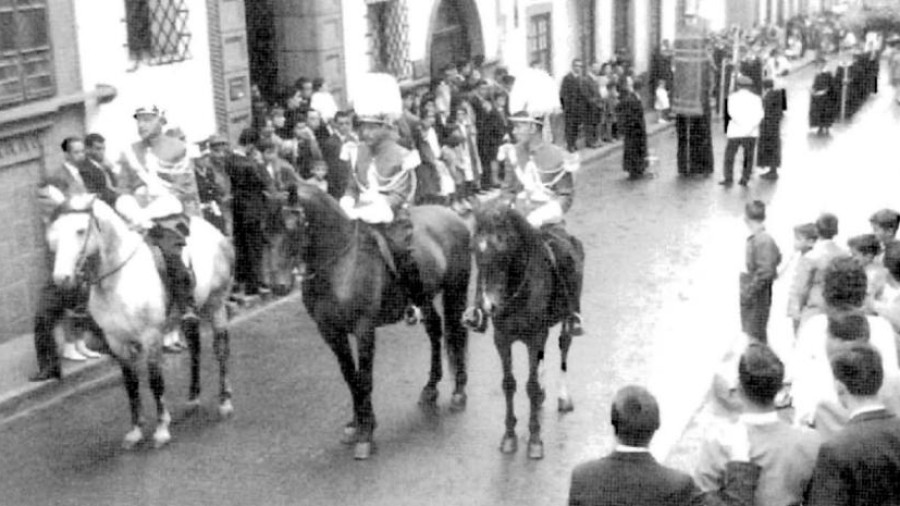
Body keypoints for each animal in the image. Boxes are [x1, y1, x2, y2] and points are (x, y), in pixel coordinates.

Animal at [46, 193, 236, 446]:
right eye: (54, 233)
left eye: (79, 230)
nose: (62, 278)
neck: (118, 279)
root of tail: (213, 230)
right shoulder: (117, 342)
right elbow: (131, 383)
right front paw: (136, 430)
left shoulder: (151, 336)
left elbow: (155, 380)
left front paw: (162, 429)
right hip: (189, 314)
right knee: (195, 349)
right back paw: (193, 398)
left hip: (216, 305)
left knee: (221, 349)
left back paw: (225, 401)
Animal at [278, 184, 468, 460]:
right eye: (264, 226)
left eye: (292, 225)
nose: (279, 284)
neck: (340, 264)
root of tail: (452, 214)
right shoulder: (331, 332)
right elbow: (350, 377)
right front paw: (357, 423)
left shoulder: (364, 329)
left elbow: (365, 378)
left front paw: (366, 432)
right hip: (425, 298)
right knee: (435, 329)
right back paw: (430, 387)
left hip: (456, 290)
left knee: (458, 335)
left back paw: (459, 392)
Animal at [472, 201, 584, 458]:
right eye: (475, 251)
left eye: (503, 249)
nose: (488, 305)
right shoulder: (502, 339)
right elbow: (509, 383)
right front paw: (509, 436)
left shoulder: (534, 338)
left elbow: (530, 387)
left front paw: (534, 439)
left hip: (567, 319)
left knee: (564, 347)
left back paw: (563, 397)